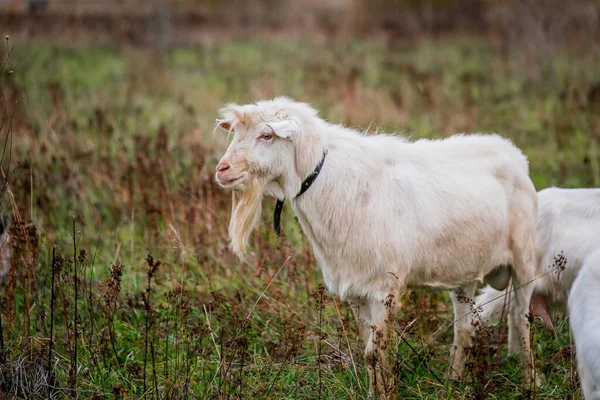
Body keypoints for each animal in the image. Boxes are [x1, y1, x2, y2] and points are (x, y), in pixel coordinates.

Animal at [214, 97, 540, 396]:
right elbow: (368, 353)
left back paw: (530, 381)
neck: (329, 182)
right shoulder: (358, 291)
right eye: (236, 132)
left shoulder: (385, 289)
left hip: (524, 260)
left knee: (520, 318)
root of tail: (513, 154)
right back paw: (454, 381)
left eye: (267, 135)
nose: (222, 169)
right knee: (464, 325)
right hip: (465, 273)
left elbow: (378, 352)